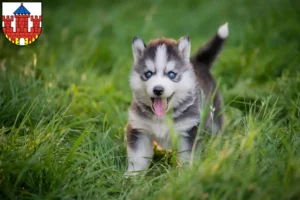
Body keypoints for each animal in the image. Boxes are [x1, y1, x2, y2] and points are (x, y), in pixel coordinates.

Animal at [125, 22, 229, 174]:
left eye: (172, 74)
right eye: (148, 74)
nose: (158, 90)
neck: (162, 117)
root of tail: (198, 63)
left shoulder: (189, 130)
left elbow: (187, 157)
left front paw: (187, 174)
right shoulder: (139, 129)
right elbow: (138, 158)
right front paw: (132, 176)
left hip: (214, 116)